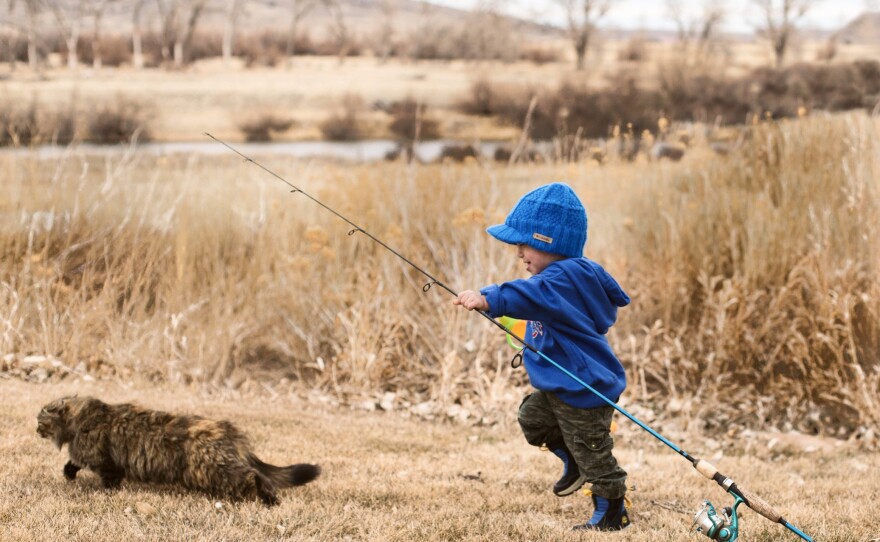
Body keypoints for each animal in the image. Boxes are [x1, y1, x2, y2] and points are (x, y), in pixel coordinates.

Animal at [37, 396, 322, 506]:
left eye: (40, 420)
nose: (34, 428)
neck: (80, 420)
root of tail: (227, 429)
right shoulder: (90, 455)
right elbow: (73, 461)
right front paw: (69, 473)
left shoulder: (106, 462)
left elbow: (108, 478)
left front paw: (106, 493)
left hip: (211, 469)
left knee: (254, 476)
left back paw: (270, 501)